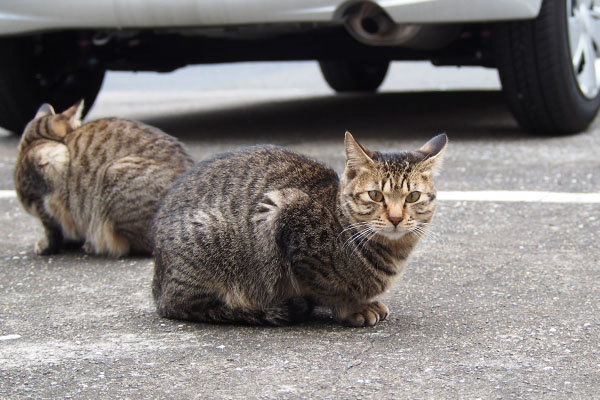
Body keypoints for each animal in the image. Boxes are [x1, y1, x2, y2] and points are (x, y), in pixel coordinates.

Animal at [15, 100, 195, 256]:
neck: (38, 140)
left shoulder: (49, 177)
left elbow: (52, 228)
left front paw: (46, 246)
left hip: (112, 173)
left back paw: (93, 244)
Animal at [152, 133, 448, 326]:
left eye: (412, 197)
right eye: (375, 195)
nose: (396, 218)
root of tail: (158, 286)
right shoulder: (283, 212)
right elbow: (328, 288)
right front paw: (353, 307)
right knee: (185, 306)